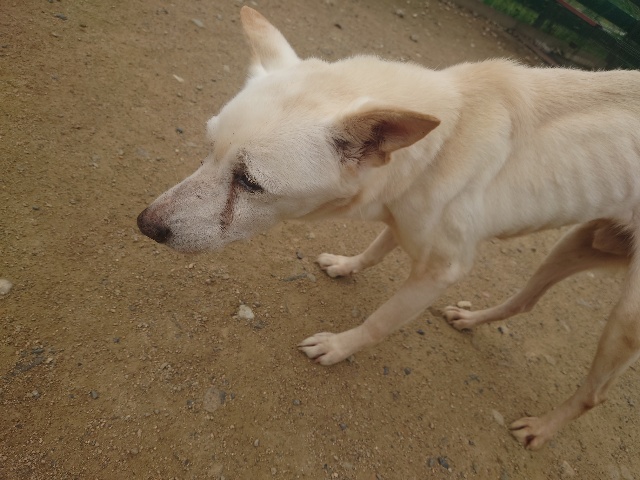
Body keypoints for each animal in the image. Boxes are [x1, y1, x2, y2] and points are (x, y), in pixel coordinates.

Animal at [137, 7, 640, 450]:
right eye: (208, 149)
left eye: (249, 181)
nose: (146, 224)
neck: (446, 139)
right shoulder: (401, 217)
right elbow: (379, 245)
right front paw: (346, 264)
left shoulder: (441, 269)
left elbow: (379, 321)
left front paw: (339, 346)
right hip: (573, 244)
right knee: (524, 301)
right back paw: (471, 319)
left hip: (624, 319)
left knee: (594, 394)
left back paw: (542, 428)